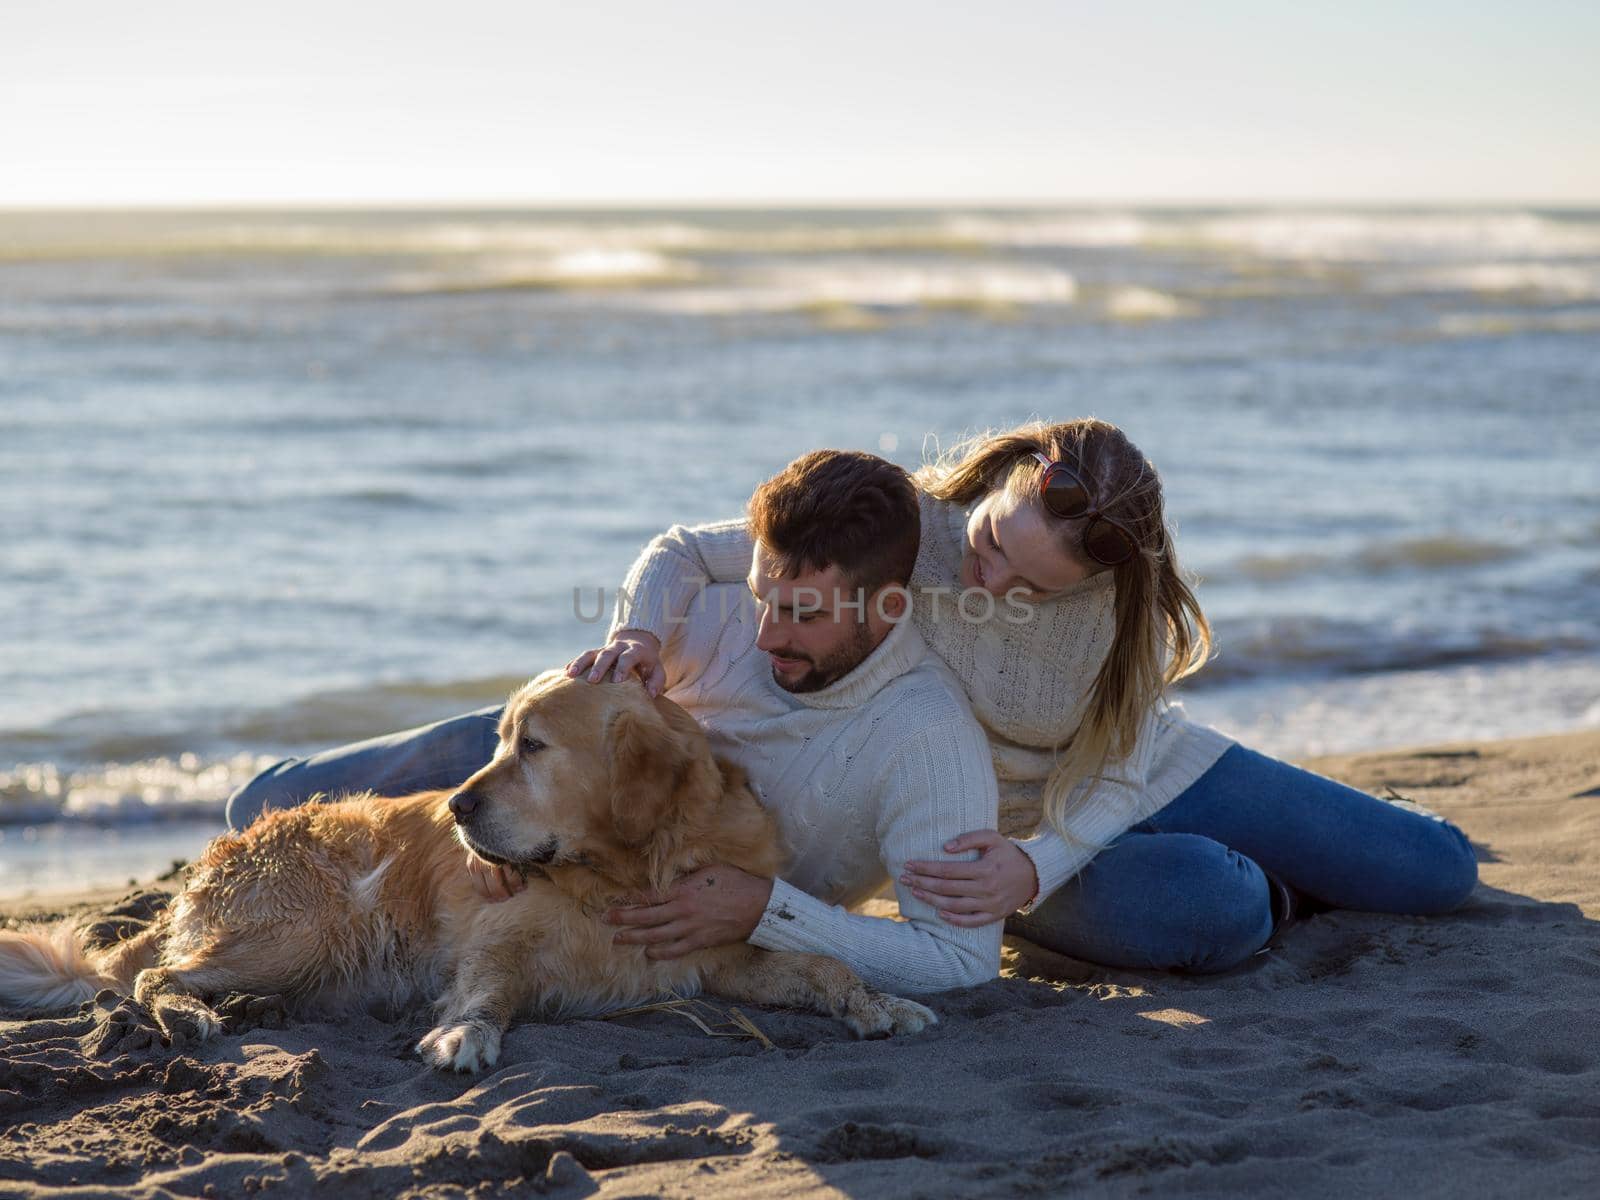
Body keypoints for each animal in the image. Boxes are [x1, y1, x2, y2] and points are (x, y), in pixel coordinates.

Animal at [0, 672, 934, 1075]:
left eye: (534, 747)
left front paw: (880, 1003)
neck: (624, 874)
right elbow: (488, 989)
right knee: (150, 974)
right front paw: (466, 1034)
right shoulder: (497, 937)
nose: (454, 806)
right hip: (313, 924)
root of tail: (208, 865)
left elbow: (825, 963)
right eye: (499, 739)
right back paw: (194, 1013)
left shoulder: (716, 952)